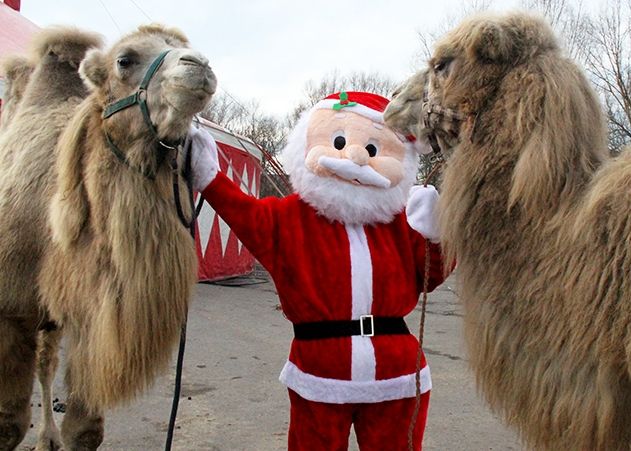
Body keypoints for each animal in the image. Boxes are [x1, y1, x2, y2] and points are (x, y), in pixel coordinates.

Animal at [0, 23, 216, 451]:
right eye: (125, 60)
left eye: (182, 48)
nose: (199, 65)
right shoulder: (10, 309)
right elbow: (9, 424)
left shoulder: (93, 319)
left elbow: (85, 430)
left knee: (46, 365)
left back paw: (47, 437)